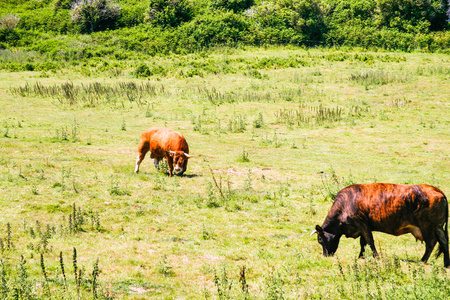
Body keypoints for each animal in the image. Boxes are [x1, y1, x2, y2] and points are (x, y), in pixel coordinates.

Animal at [312, 183, 448, 268]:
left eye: (320, 239)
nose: (325, 255)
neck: (346, 203)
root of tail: (436, 190)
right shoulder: (363, 227)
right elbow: (363, 243)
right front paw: (361, 256)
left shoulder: (362, 224)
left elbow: (369, 241)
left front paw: (376, 257)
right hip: (438, 228)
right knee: (444, 242)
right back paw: (446, 264)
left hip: (427, 227)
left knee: (431, 243)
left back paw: (422, 260)